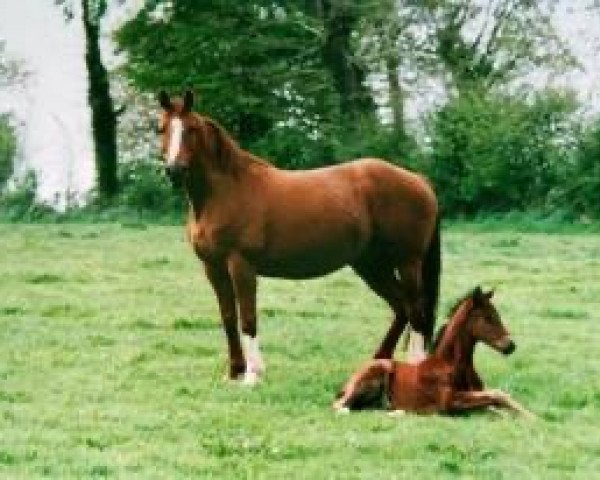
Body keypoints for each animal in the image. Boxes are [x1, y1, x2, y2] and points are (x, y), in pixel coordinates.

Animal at [157, 89, 440, 382]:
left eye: (191, 129)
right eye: (161, 129)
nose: (174, 170)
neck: (225, 192)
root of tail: (418, 180)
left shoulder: (241, 265)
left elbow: (248, 318)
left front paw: (253, 375)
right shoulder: (213, 267)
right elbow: (228, 318)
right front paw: (234, 373)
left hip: (407, 262)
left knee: (416, 309)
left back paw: (414, 366)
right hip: (371, 265)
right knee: (401, 307)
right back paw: (378, 363)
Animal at [332, 286, 536, 418]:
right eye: (487, 317)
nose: (510, 346)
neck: (450, 364)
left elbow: (495, 404)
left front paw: (524, 415)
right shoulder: (450, 401)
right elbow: (497, 394)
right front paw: (532, 417)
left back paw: (397, 411)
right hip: (376, 371)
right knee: (340, 406)